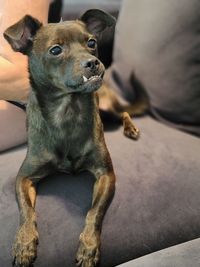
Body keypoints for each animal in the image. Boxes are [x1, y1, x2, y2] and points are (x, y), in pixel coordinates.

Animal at [4, 8, 139, 267]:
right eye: (56, 50)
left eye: (92, 43)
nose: (93, 62)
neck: (68, 112)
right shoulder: (24, 178)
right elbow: (26, 210)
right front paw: (24, 243)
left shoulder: (106, 175)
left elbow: (94, 212)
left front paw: (88, 247)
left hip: (108, 107)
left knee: (125, 112)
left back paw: (131, 129)